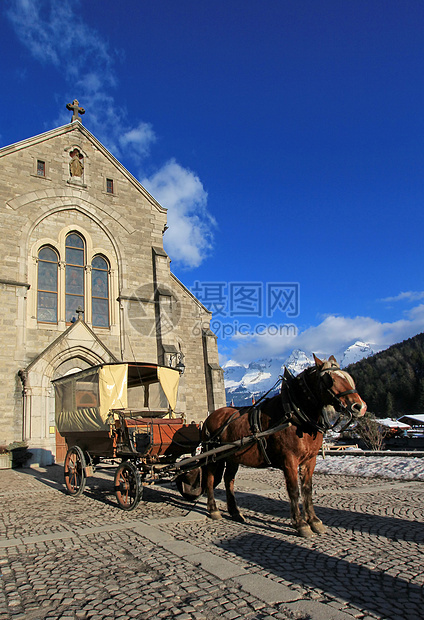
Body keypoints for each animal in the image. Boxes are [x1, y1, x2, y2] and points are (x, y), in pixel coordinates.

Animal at [201, 354, 364, 536]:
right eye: (330, 380)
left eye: (348, 378)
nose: (359, 406)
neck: (295, 414)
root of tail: (211, 417)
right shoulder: (289, 460)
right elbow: (293, 490)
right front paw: (300, 524)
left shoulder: (310, 460)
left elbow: (307, 489)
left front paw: (314, 521)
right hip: (213, 456)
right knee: (210, 478)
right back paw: (214, 509)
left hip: (232, 457)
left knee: (229, 480)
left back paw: (235, 512)